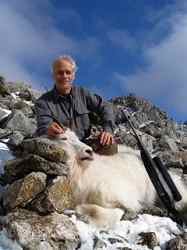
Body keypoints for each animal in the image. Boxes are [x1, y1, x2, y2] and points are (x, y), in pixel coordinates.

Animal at [54, 129, 187, 229]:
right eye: (63, 138)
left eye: (77, 138)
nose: (89, 151)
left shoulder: (118, 194)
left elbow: (116, 210)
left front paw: (82, 211)